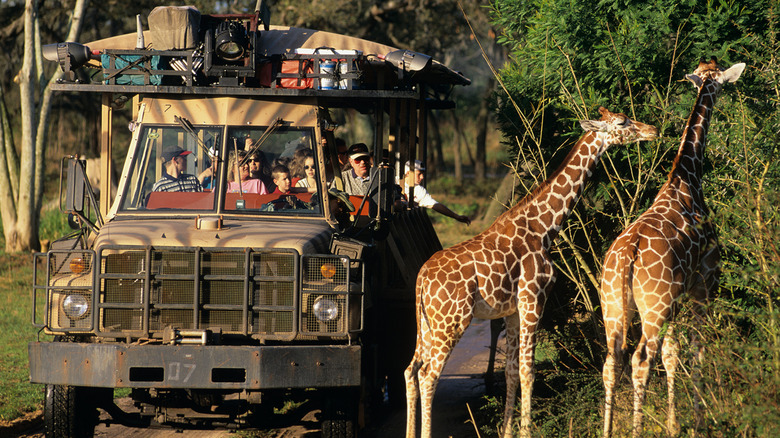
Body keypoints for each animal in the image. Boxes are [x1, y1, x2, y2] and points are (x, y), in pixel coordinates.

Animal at [404, 107, 658, 438]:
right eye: (621, 122)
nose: (652, 130)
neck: (545, 227)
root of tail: (422, 278)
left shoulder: (513, 310)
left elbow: (512, 372)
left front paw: (508, 431)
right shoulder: (533, 300)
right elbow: (528, 371)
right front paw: (525, 430)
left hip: (426, 323)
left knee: (410, 370)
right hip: (451, 321)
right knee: (428, 374)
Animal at [599, 58, 745, 437]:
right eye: (721, 81)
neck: (687, 178)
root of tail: (628, 257)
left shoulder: (676, 299)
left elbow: (672, 353)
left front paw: (672, 423)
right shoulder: (703, 284)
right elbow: (695, 352)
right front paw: (695, 423)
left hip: (615, 307)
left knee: (612, 362)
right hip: (654, 307)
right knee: (641, 360)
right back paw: (637, 430)